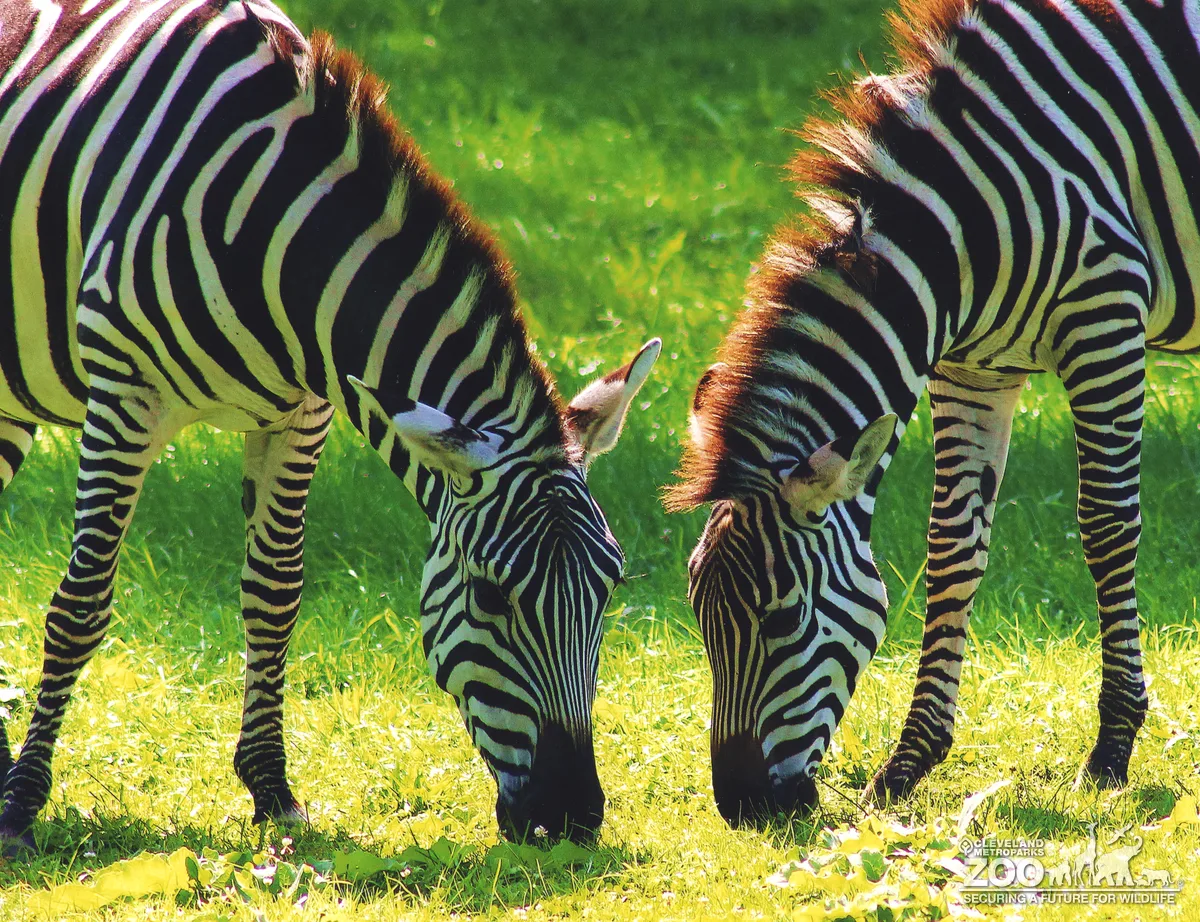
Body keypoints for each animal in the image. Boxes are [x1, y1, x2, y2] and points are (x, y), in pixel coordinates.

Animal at [0, 0, 661, 847]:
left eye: (609, 588)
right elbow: (81, 603)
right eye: (490, 599)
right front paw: (22, 804)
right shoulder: (124, 397)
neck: (276, 230)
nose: (573, 818)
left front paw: (272, 789)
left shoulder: (301, 415)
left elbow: (275, 595)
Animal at [667, 0, 1197, 825]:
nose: (743, 808)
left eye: (782, 620)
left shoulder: (1105, 314)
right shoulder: (972, 369)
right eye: (696, 611)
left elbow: (1107, 524)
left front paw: (1112, 750)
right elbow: (953, 543)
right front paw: (908, 764)